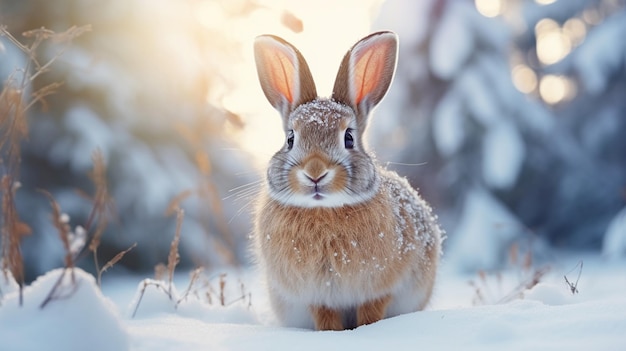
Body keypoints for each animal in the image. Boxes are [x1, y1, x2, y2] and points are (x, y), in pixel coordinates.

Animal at [251, 31, 442, 332]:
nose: (315, 171)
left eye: (349, 138)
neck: (324, 210)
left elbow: (371, 312)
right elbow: (326, 318)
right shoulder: (318, 297)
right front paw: (331, 334)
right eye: (290, 139)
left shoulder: (377, 290)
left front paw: (365, 331)